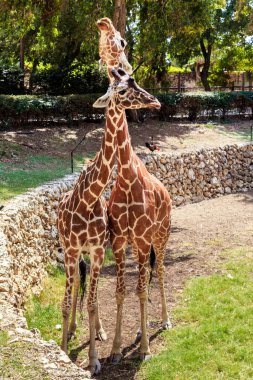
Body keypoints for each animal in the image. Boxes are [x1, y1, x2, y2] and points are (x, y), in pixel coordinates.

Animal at [94, 68, 173, 362]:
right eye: (122, 90)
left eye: (134, 81)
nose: (155, 102)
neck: (127, 178)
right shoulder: (119, 242)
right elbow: (122, 291)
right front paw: (117, 349)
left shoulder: (140, 239)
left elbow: (139, 290)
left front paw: (145, 351)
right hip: (144, 243)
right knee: (147, 277)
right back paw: (141, 330)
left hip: (161, 236)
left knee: (159, 271)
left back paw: (164, 321)